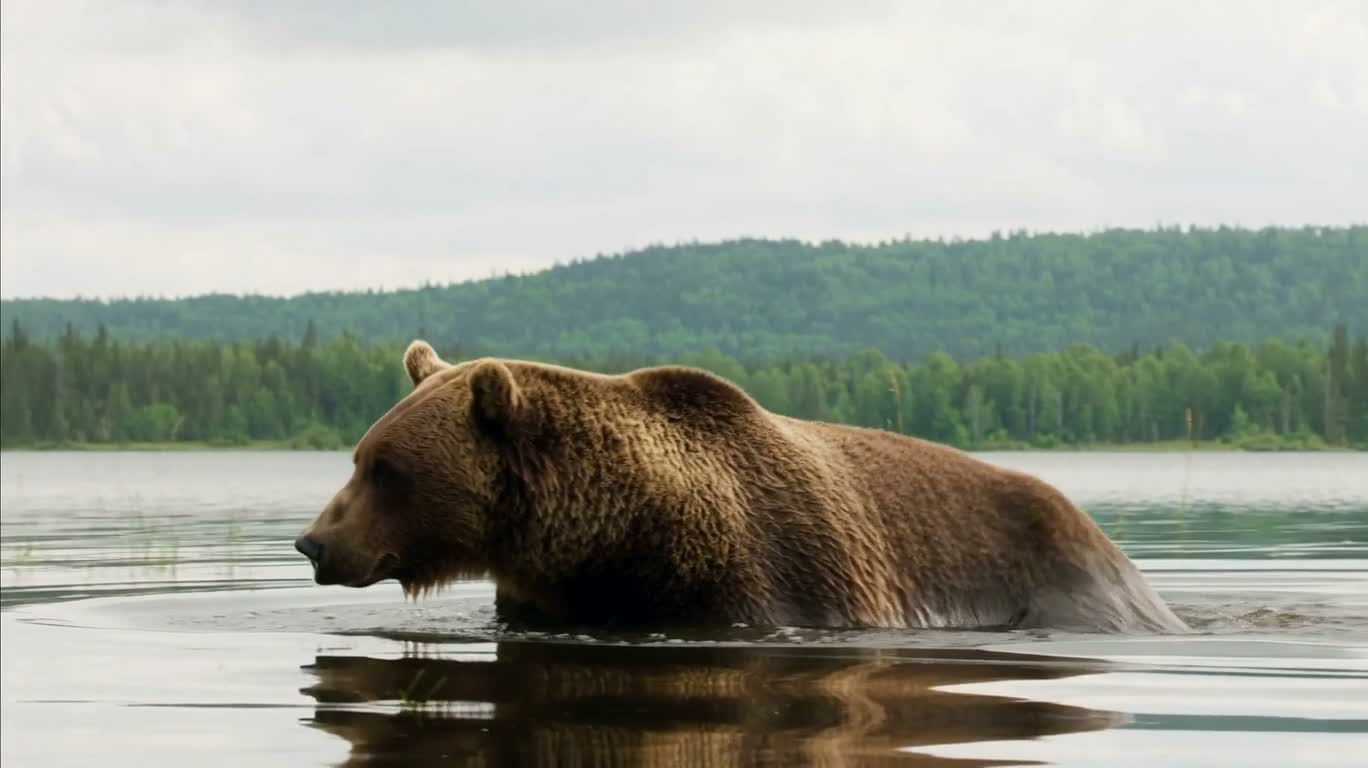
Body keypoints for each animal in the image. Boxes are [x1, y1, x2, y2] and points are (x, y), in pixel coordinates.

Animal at [293, 340, 1187, 634]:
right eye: (359, 457)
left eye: (386, 469)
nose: (313, 542)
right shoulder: (549, 592)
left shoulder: (768, 577)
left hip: (1060, 577)